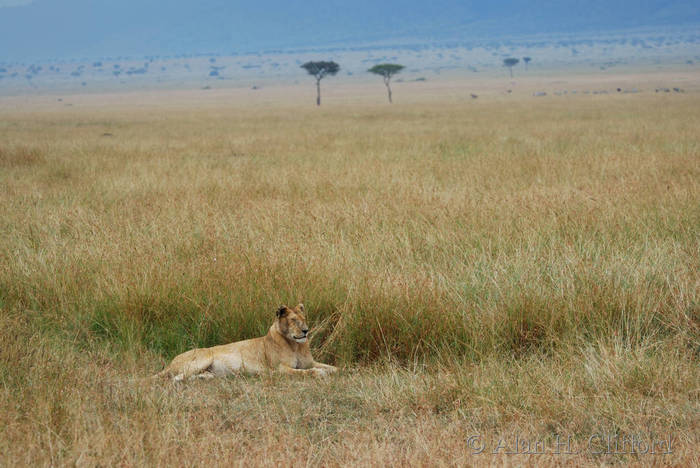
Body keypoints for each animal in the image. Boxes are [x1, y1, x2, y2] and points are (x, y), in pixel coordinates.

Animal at [154, 303, 337, 381]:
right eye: (293, 320)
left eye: (304, 318)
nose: (306, 330)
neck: (295, 345)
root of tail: (171, 362)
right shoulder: (280, 369)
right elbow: (307, 372)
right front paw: (320, 373)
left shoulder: (309, 362)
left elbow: (334, 368)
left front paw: (332, 370)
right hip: (202, 358)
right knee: (175, 378)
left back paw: (204, 377)